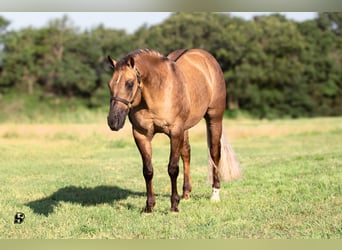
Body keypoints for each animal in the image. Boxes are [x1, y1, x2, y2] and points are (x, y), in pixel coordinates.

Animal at [107, 47, 240, 212]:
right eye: (110, 85)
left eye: (130, 83)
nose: (113, 121)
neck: (158, 92)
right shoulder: (141, 135)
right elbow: (148, 170)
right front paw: (149, 206)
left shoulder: (175, 132)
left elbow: (173, 169)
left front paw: (174, 206)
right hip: (185, 129)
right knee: (186, 153)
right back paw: (186, 193)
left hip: (214, 119)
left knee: (215, 153)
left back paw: (215, 194)